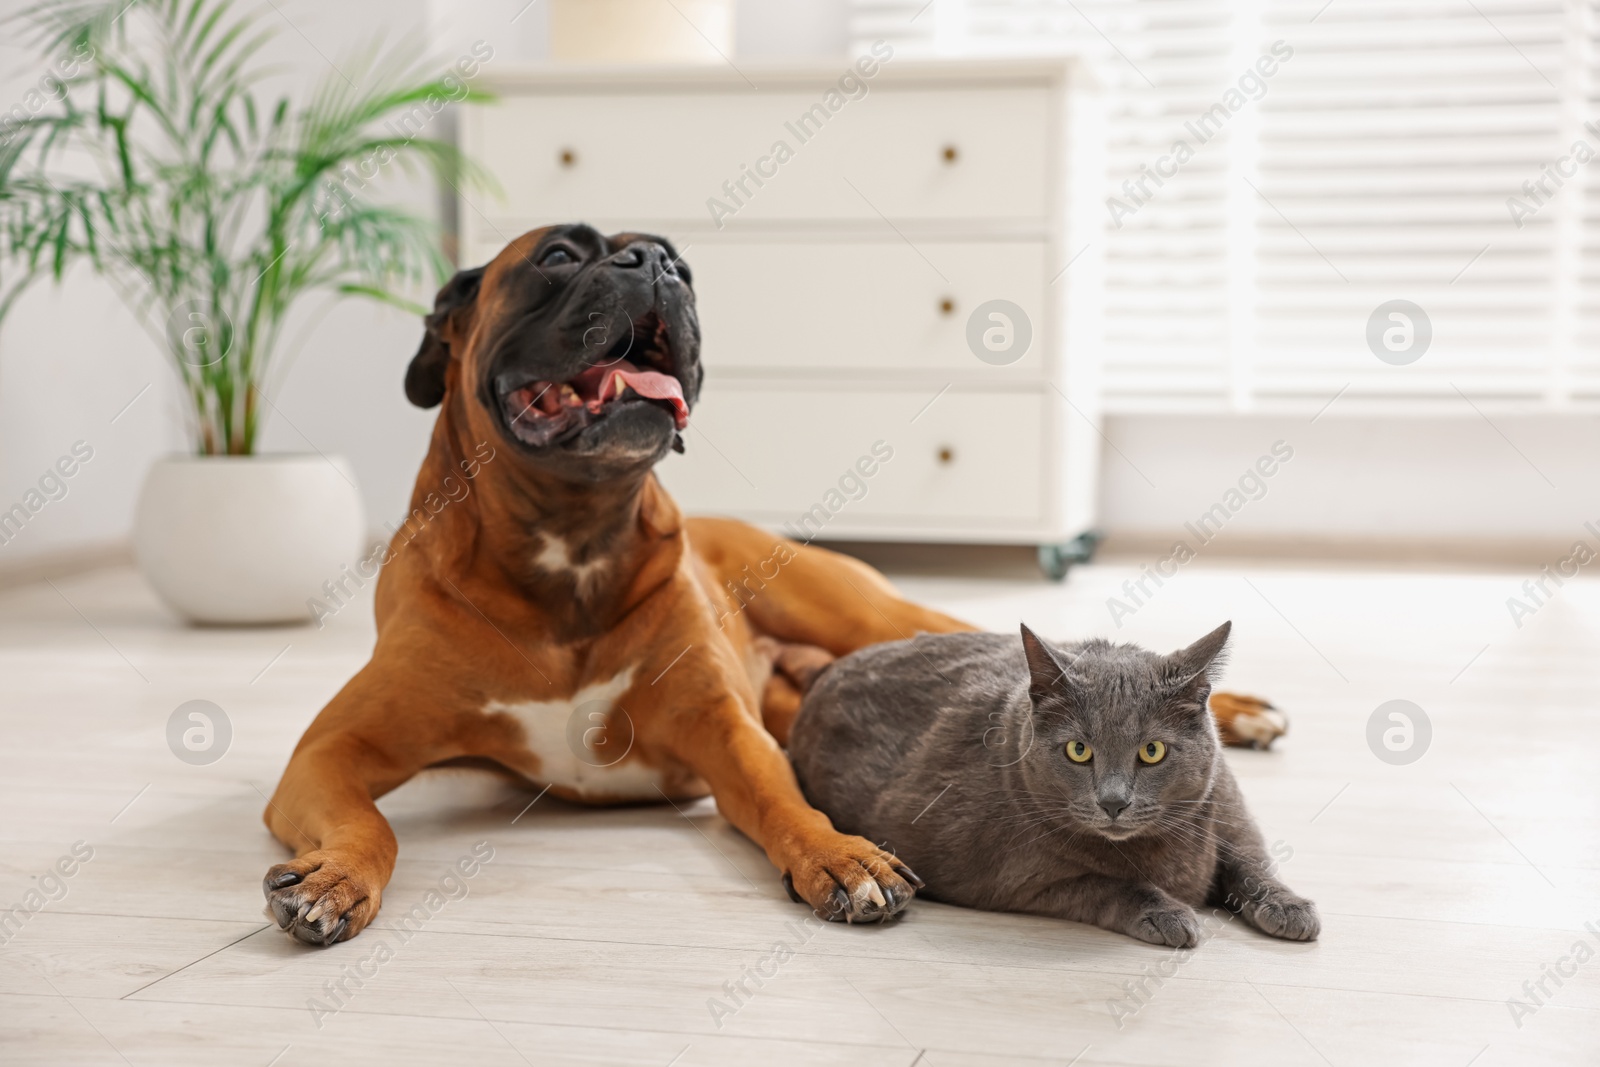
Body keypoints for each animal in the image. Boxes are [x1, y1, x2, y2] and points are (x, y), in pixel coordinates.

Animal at [780, 620, 1318, 947]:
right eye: (1079, 751)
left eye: (1152, 751)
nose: (1113, 801)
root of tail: (828, 669)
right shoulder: (1021, 880)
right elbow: (1110, 883)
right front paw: (1168, 913)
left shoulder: (1227, 810)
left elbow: (1248, 861)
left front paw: (1289, 906)